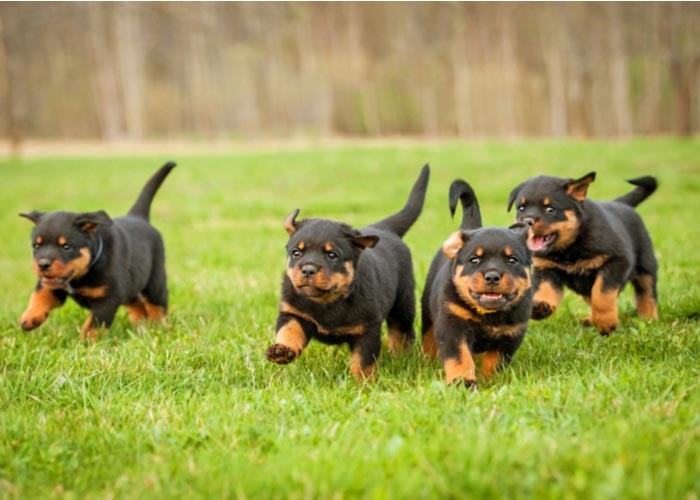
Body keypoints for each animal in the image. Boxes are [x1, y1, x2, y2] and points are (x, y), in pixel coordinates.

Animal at [19, 162, 175, 342]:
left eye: (66, 247)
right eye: (36, 246)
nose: (43, 264)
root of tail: (138, 217)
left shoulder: (108, 298)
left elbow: (94, 324)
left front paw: (86, 342)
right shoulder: (52, 285)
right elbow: (40, 295)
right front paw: (30, 317)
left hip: (154, 282)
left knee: (157, 306)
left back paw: (158, 328)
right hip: (131, 284)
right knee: (137, 303)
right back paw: (141, 324)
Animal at [266, 166, 430, 380]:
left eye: (332, 255)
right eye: (296, 252)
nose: (308, 269)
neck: (327, 302)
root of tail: (385, 229)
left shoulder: (368, 329)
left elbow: (363, 361)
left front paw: (362, 383)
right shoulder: (292, 312)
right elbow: (289, 330)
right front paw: (281, 350)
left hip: (403, 303)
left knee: (401, 331)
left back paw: (402, 358)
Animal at [422, 180, 532, 386]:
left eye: (512, 260)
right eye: (474, 260)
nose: (492, 276)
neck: (489, 315)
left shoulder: (511, 334)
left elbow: (495, 361)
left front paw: (488, 380)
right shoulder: (453, 325)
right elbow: (460, 357)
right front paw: (462, 382)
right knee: (428, 337)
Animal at [506, 172, 660, 336]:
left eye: (550, 209)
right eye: (521, 208)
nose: (526, 221)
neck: (569, 248)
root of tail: (623, 204)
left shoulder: (617, 261)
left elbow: (602, 294)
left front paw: (606, 323)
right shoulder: (546, 269)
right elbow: (545, 289)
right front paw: (541, 306)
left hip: (646, 266)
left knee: (647, 293)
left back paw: (649, 318)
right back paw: (590, 320)